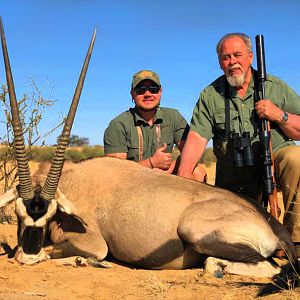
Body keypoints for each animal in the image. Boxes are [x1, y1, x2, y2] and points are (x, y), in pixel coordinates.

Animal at [0, 17, 298, 282]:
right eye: (18, 213)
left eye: (50, 214)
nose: (28, 256)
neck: (75, 182)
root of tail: (267, 220)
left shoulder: (95, 242)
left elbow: (66, 253)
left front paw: (84, 261)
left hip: (194, 230)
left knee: (270, 266)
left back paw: (215, 267)